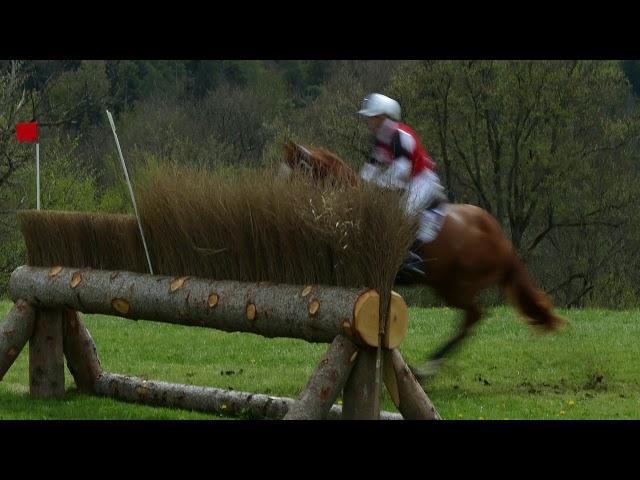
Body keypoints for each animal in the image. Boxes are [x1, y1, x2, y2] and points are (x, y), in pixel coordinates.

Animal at [282, 141, 564, 380]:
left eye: (297, 176)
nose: (283, 208)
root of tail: (500, 239)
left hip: (458, 285)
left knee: (472, 317)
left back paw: (427, 369)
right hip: (445, 284)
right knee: (471, 317)